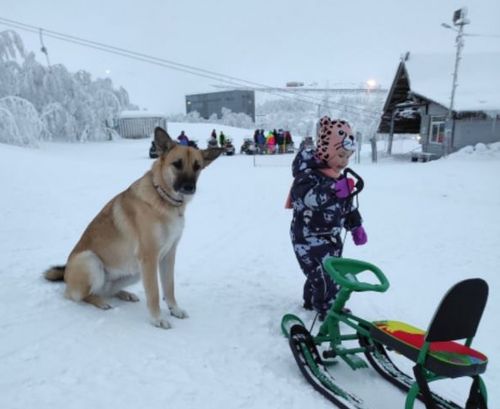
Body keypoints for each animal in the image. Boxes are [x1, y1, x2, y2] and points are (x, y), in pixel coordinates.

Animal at [44, 127, 224, 329]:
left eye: (197, 166)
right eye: (177, 164)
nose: (189, 187)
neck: (163, 199)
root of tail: (66, 274)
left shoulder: (168, 255)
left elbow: (169, 287)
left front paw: (174, 309)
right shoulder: (149, 257)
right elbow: (154, 292)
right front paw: (157, 319)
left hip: (134, 272)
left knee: (107, 290)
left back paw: (125, 294)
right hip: (91, 260)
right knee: (80, 295)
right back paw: (100, 302)